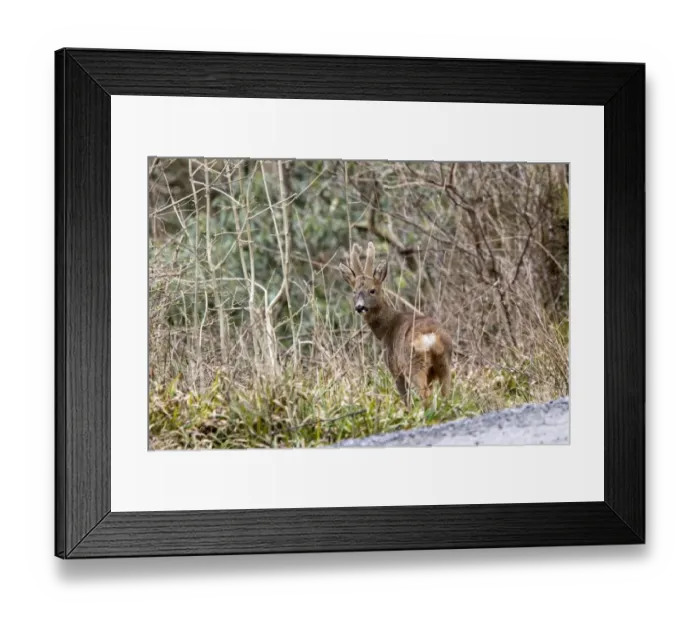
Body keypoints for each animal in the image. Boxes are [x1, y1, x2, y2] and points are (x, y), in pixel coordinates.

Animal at [339, 241, 453, 409]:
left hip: (414, 364)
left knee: (424, 393)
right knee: (447, 393)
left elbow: (405, 397)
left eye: (372, 290)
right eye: (354, 291)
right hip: (444, 362)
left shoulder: (394, 367)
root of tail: (431, 337)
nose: (359, 307)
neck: (386, 329)